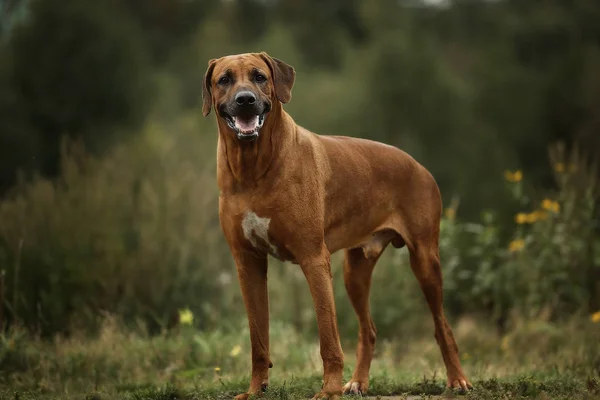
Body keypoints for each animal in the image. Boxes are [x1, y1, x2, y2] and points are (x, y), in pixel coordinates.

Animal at [203, 51, 474, 398]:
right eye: (224, 79)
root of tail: (419, 165)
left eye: (259, 76)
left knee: (442, 326)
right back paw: (358, 381)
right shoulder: (247, 263)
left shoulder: (313, 258)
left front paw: (329, 389)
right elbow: (258, 338)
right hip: (354, 271)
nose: (246, 100)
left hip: (425, 260)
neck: (252, 167)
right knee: (368, 329)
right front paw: (255, 389)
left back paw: (457, 380)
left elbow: (327, 334)